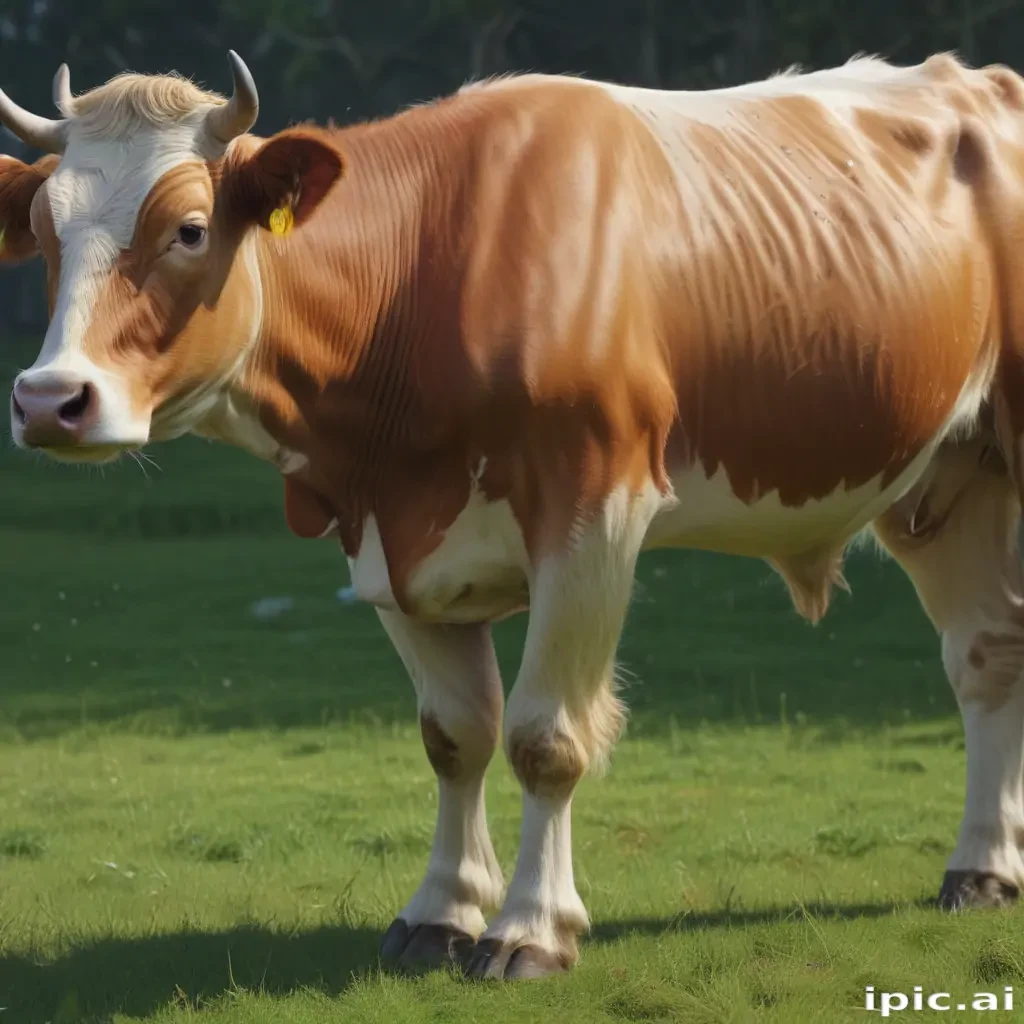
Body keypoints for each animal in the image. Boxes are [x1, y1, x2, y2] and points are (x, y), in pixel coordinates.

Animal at [3, 49, 1024, 978]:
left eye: (187, 228)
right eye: (45, 232)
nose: (50, 400)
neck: (423, 277)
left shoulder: (594, 515)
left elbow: (545, 738)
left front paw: (530, 928)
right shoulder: (382, 540)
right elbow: (455, 734)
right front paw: (441, 912)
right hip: (945, 480)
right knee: (983, 654)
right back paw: (981, 866)